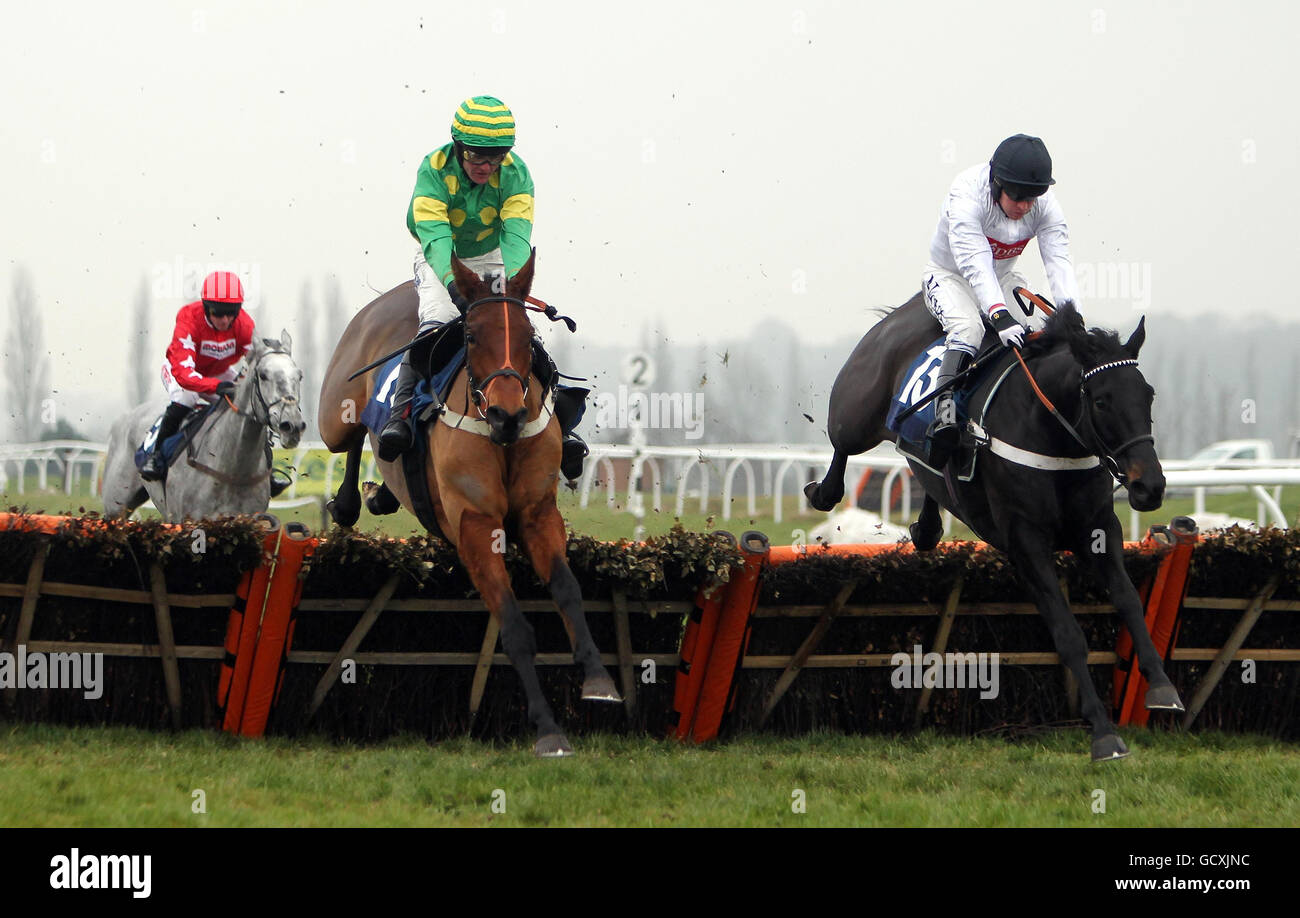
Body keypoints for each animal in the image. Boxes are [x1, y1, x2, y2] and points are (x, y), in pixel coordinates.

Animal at [315, 252, 618, 759]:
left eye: (528, 335)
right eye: (472, 336)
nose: (507, 414)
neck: (500, 436)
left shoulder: (539, 515)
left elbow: (568, 590)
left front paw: (599, 680)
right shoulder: (476, 526)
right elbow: (513, 627)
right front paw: (548, 729)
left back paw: (381, 494)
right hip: (332, 414)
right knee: (352, 436)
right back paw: (349, 500)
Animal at [800, 293, 1180, 759]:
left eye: (1148, 395)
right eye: (1102, 401)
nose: (1150, 486)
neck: (1052, 434)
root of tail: (910, 307)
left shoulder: (1099, 529)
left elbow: (1129, 602)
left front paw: (1162, 688)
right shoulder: (1026, 541)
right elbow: (1068, 633)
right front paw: (1104, 733)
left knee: (927, 471)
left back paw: (926, 527)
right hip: (857, 410)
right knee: (840, 442)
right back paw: (823, 491)